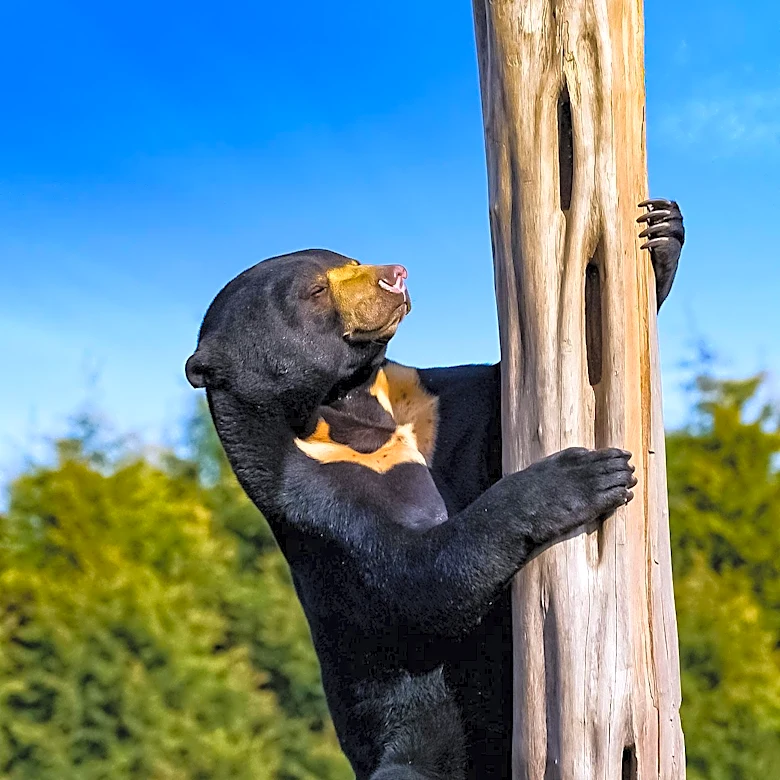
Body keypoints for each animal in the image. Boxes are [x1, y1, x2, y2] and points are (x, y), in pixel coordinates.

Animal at [185, 199, 684, 780]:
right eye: (314, 291)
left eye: (348, 260)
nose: (395, 274)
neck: (352, 408)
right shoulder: (316, 500)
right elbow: (419, 579)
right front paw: (583, 475)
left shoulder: (433, 403)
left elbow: (501, 405)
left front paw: (662, 231)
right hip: (417, 739)